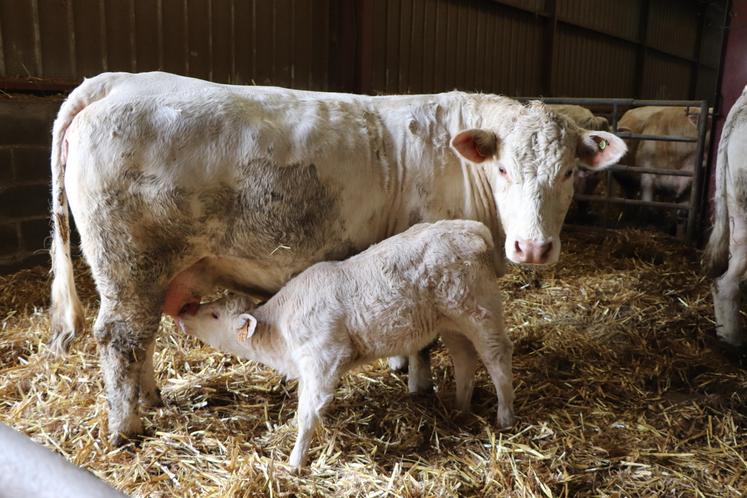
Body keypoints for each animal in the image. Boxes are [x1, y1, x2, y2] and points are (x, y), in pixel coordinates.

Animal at [49, 70, 628, 444]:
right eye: (504, 168)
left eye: (570, 172)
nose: (533, 247)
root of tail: (119, 81)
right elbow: (427, 342)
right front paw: (417, 384)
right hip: (131, 263)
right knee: (120, 338)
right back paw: (126, 427)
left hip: (157, 274)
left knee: (142, 338)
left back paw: (151, 399)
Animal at [176, 221, 516, 470]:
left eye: (214, 314)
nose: (183, 312)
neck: (280, 334)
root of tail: (469, 228)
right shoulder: (308, 367)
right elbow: (305, 405)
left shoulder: (324, 358)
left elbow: (309, 412)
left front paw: (295, 462)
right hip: (450, 322)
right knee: (464, 359)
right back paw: (459, 407)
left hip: (480, 312)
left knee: (498, 360)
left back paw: (505, 416)